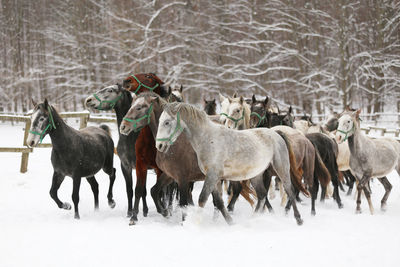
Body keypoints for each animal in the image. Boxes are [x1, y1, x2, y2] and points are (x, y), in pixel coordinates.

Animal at [155, 102, 308, 226]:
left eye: (167, 122)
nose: (159, 145)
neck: (208, 139)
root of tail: (276, 133)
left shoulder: (212, 176)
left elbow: (202, 199)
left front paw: (195, 223)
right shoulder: (215, 178)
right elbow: (219, 202)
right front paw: (230, 222)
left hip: (281, 169)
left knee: (289, 190)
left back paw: (299, 219)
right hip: (256, 175)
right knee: (262, 195)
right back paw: (253, 219)